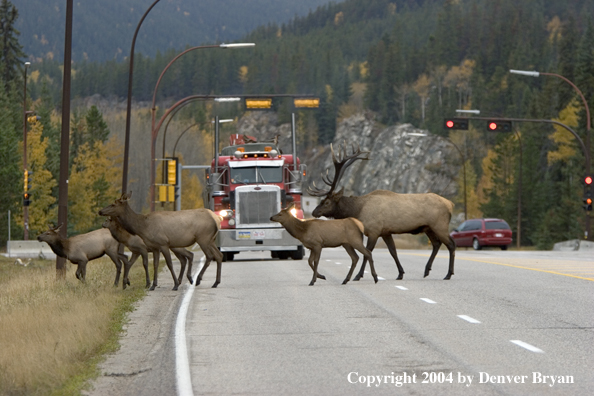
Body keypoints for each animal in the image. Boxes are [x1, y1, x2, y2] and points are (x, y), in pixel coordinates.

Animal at [308, 142, 456, 282]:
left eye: (327, 202)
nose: (314, 212)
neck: (358, 210)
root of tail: (450, 204)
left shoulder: (374, 230)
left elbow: (368, 252)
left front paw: (359, 275)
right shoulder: (385, 232)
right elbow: (393, 251)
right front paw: (400, 273)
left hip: (440, 225)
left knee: (451, 244)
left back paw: (448, 274)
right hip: (428, 227)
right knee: (437, 244)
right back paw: (427, 270)